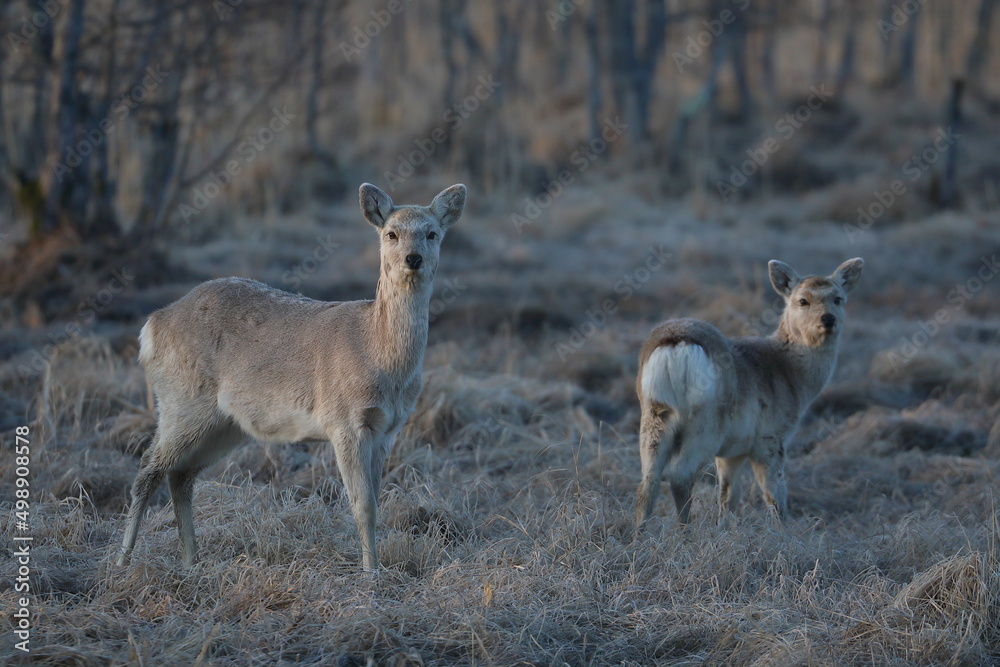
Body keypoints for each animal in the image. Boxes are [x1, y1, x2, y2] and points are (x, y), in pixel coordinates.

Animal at [117, 183, 467, 572]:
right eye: (391, 233)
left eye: (432, 233)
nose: (413, 258)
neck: (376, 351)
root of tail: (153, 325)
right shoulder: (344, 422)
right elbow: (362, 505)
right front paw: (370, 573)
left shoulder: (387, 429)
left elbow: (377, 499)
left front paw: (374, 566)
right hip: (181, 399)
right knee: (148, 468)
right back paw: (122, 560)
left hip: (224, 423)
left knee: (181, 474)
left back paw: (192, 561)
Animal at [634, 258, 863, 527]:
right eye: (802, 301)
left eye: (838, 299)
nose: (828, 319)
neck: (795, 379)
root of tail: (675, 344)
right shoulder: (771, 435)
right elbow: (775, 491)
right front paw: (781, 529)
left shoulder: (733, 450)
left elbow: (729, 495)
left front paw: (724, 526)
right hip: (707, 420)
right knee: (680, 475)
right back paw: (685, 531)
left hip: (653, 413)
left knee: (648, 481)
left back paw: (640, 533)